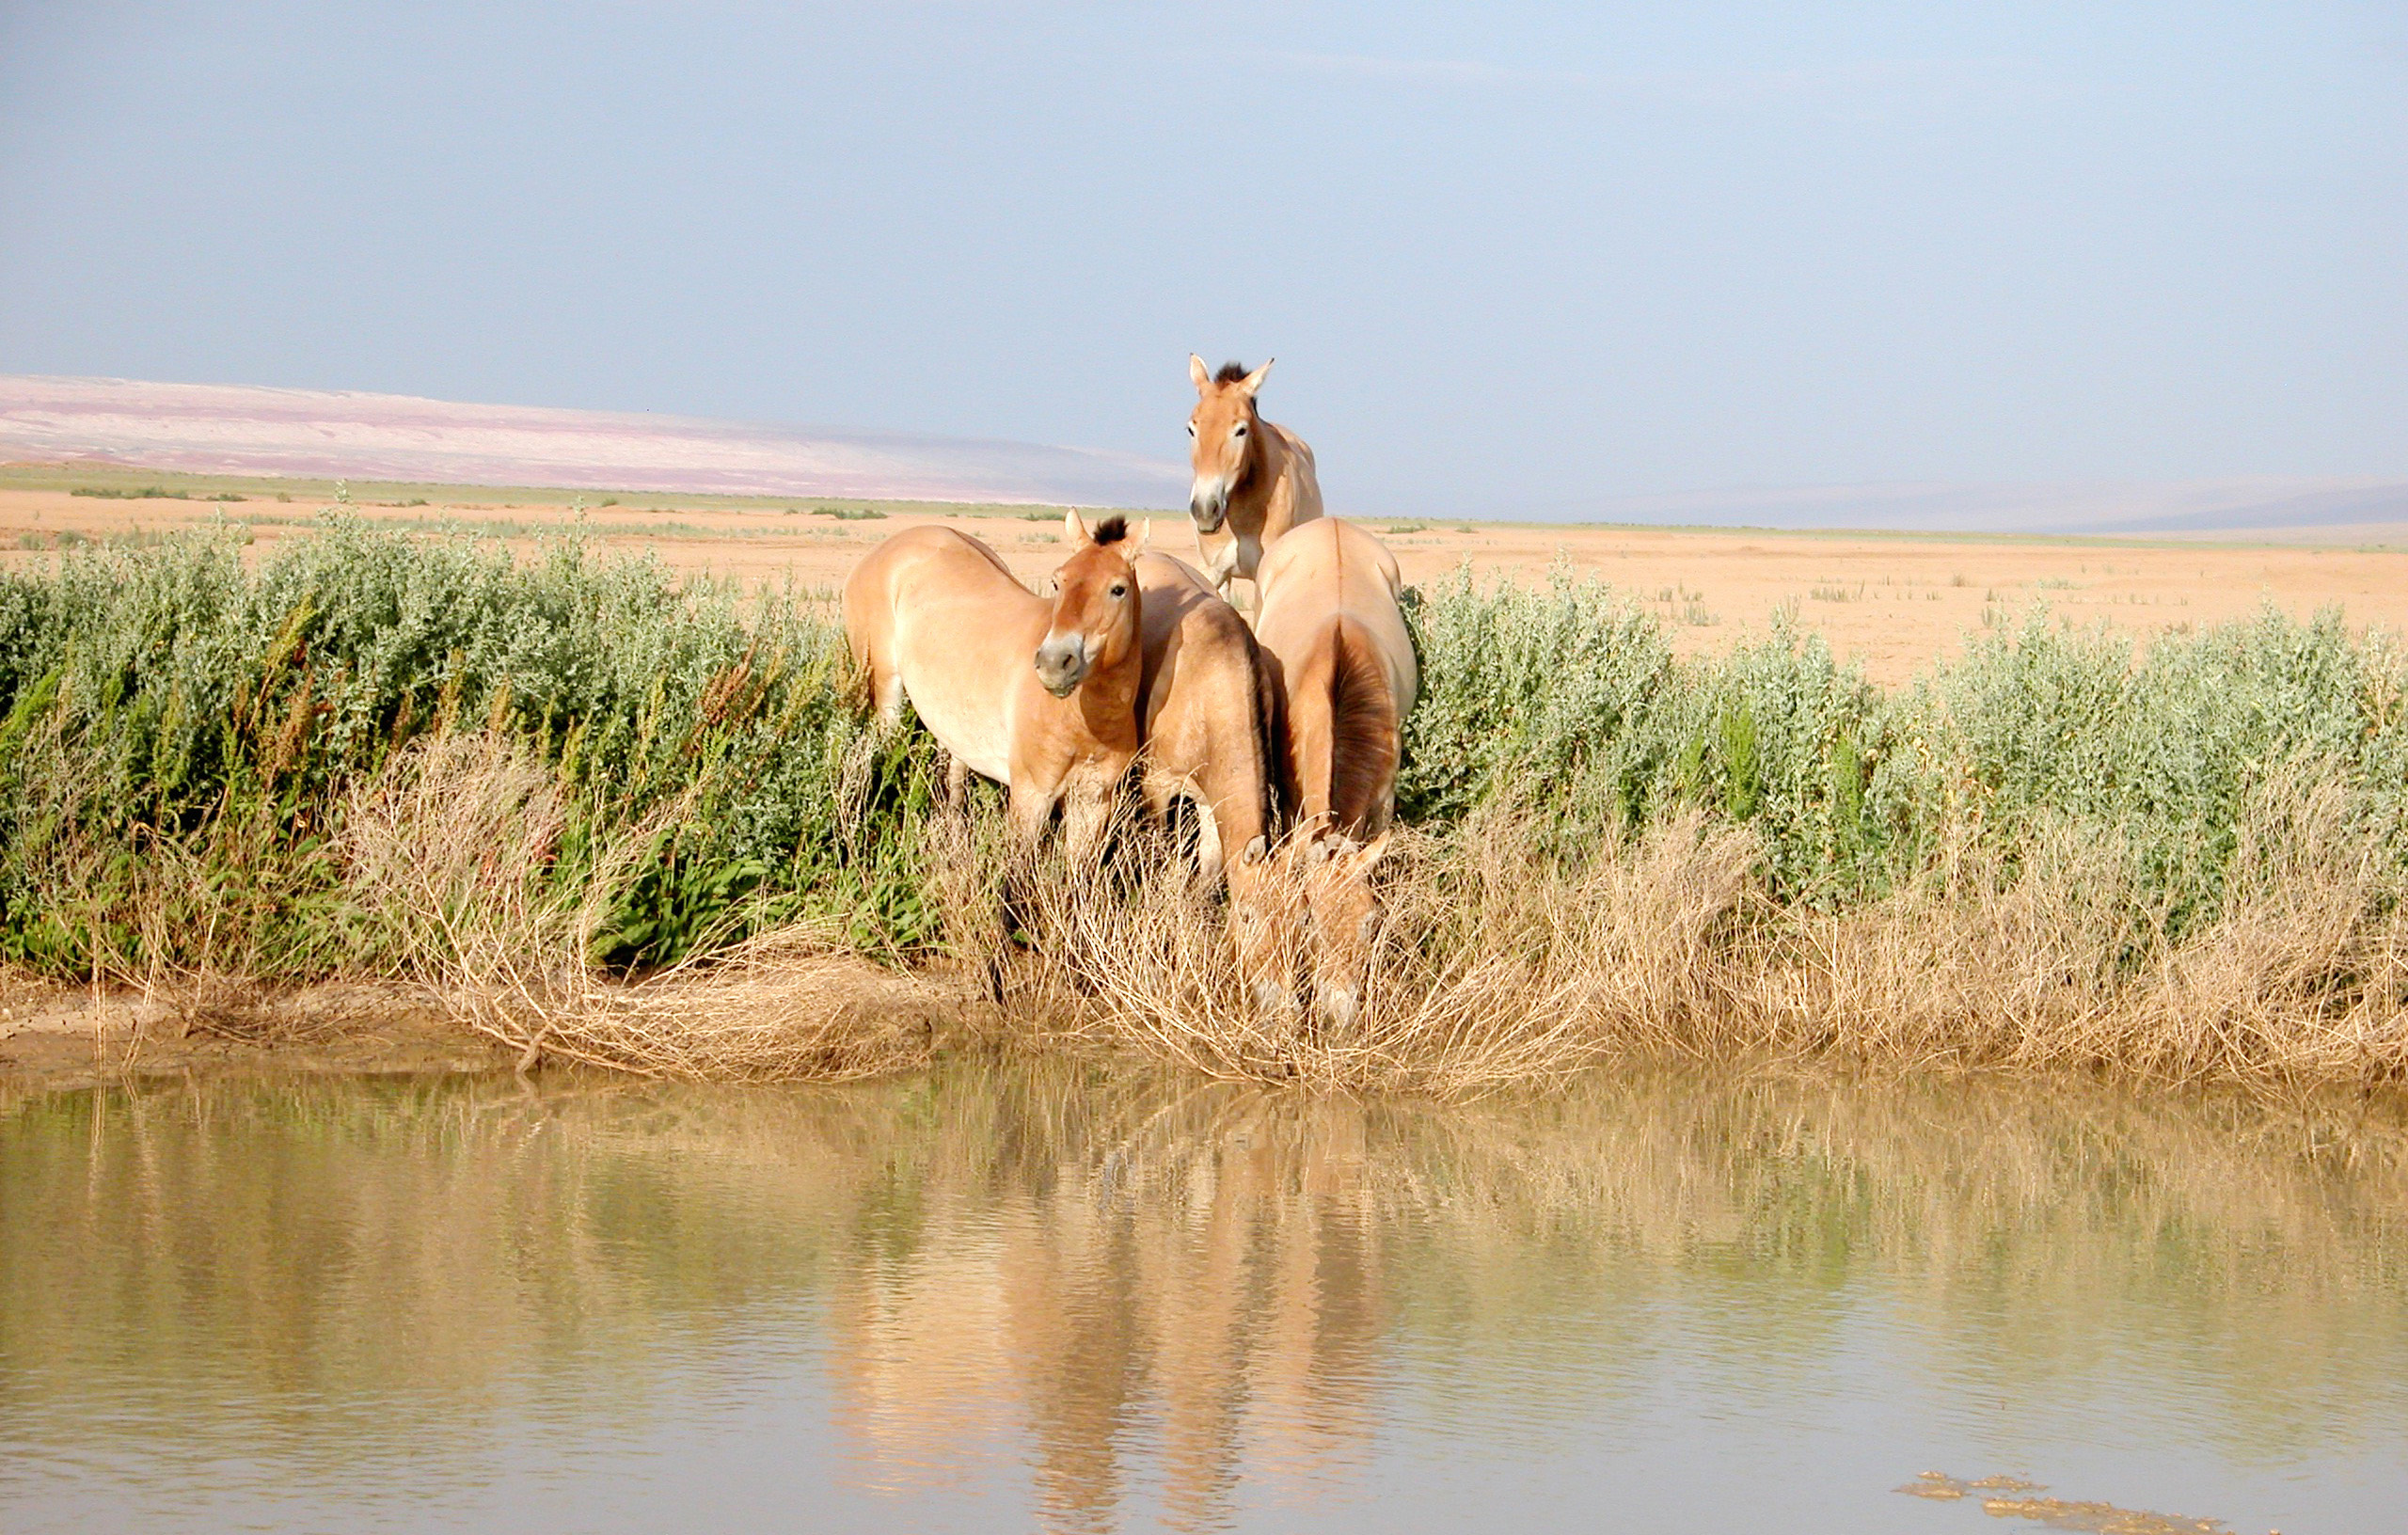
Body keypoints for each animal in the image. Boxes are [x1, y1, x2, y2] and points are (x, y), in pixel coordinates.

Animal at [848, 510, 1146, 861]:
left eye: (1118, 589)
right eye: (1058, 581)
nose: (1053, 663)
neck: (1084, 721)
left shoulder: (1093, 801)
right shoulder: (1031, 796)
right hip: (886, 691)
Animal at [1132, 544, 1300, 1010]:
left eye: (1299, 921)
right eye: (1247, 915)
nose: (1280, 1000)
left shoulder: (1212, 801)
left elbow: (1208, 873)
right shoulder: (1158, 784)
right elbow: (1160, 860)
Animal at [1252, 519, 1416, 1034]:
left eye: (1369, 923)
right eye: (1310, 924)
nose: (1340, 1015)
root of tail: (1332, 525)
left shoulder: (1384, 801)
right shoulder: (1293, 802)